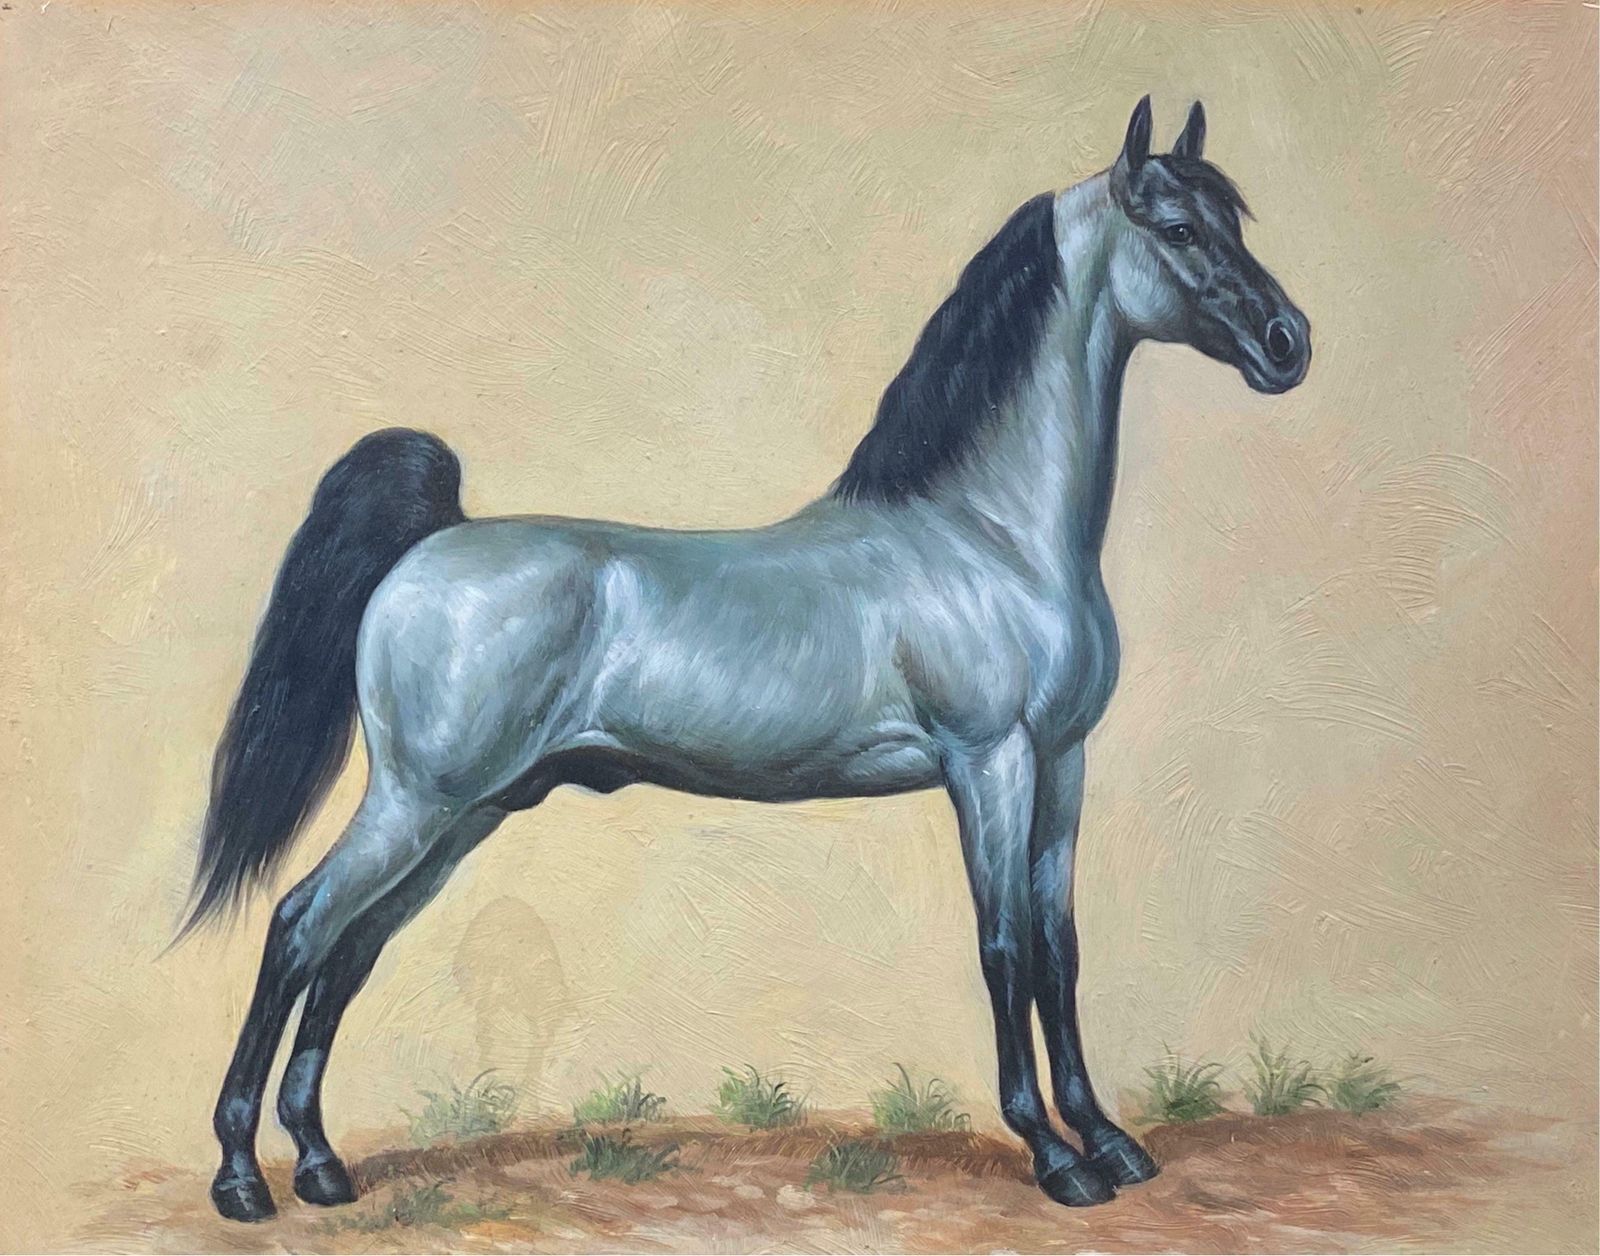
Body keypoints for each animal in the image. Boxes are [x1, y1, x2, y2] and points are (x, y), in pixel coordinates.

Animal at [183, 95, 1310, 1222]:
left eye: (1234, 221)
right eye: (1178, 230)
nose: (1287, 342)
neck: (987, 535)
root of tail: (432, 541)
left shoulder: (1065, 760)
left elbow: (1059, 949)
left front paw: (1111, 1141)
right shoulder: (989, 762)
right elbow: (1003, 948)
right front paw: (1053, 1154)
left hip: (469, 813)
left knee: (351, 949)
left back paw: (321, 1164)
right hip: (417, 801)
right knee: (297, 925)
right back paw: (243, 1176)